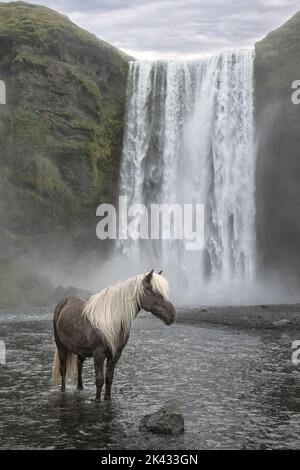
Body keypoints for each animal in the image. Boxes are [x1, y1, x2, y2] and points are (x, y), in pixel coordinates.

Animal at [50, 272, 175, 400]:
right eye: (153, 291)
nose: (172, 315)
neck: (111, 320)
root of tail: (64, 302)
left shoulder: (115, 355)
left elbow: (109, 379)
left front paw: (107, 399)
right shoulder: (98, 355)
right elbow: (100, 380)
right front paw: (97, 400)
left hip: (81, 351)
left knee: (79, 365)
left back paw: (80, 388)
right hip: (61, 347)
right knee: (63, 369)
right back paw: (63, 390)